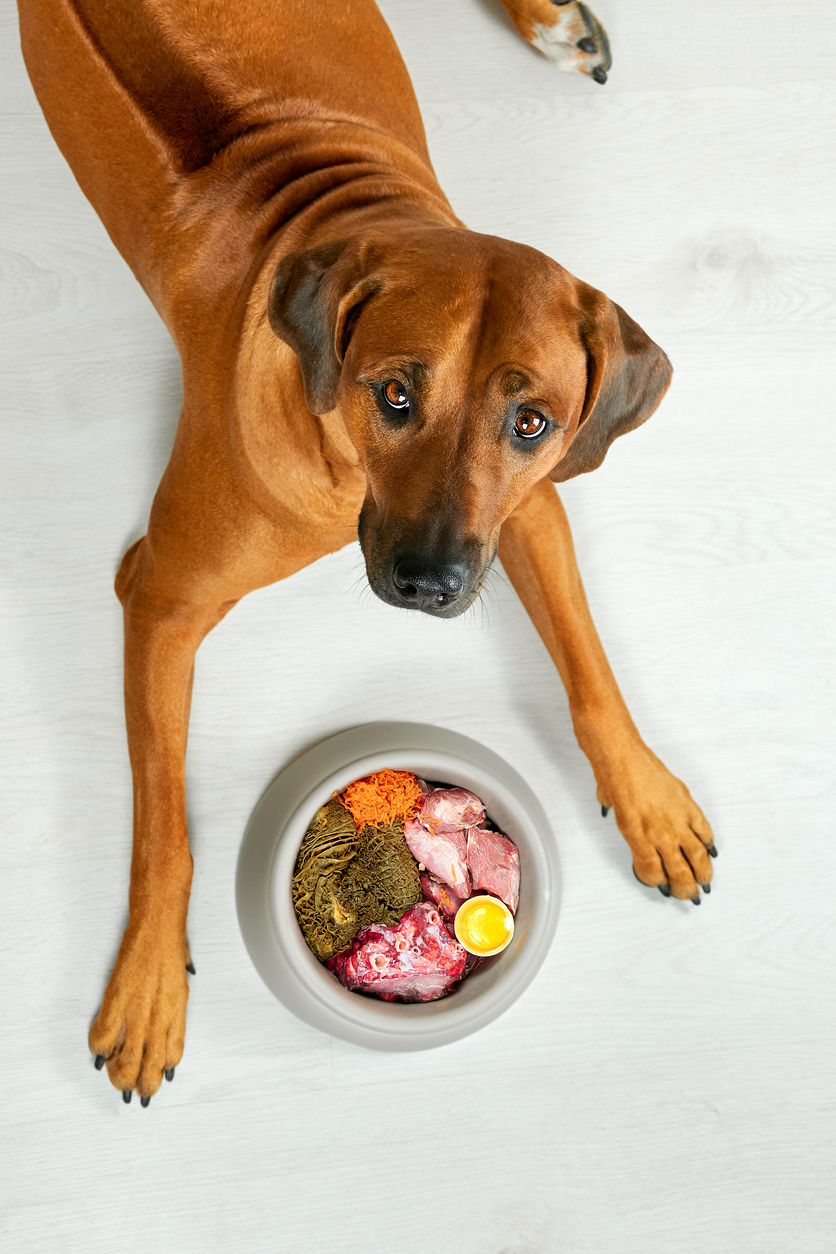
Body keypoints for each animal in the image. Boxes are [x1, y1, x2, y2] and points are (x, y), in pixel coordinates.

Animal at [18, 0, 711, 1103]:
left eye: (531, 422)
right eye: (394, 393)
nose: (427, 582)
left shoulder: (523, 511)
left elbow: (586, 662)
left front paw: (647, 799)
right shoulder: (162, 595)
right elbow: (164, 831)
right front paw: (148, 983)